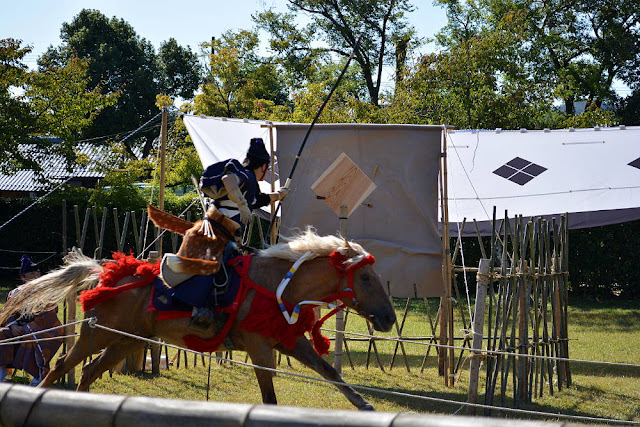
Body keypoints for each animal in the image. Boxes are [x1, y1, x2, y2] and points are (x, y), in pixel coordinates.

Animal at [18, 207, 396, 412]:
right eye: (365, 277)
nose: (389, 318)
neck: (277, 285)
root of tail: (107, 272)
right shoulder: (260, 348)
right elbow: (270, 397)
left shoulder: (290, 341)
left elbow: (330, 372)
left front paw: (364, 404)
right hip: (97, 333)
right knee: (62, 366)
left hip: (127, 339)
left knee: (88, 372)